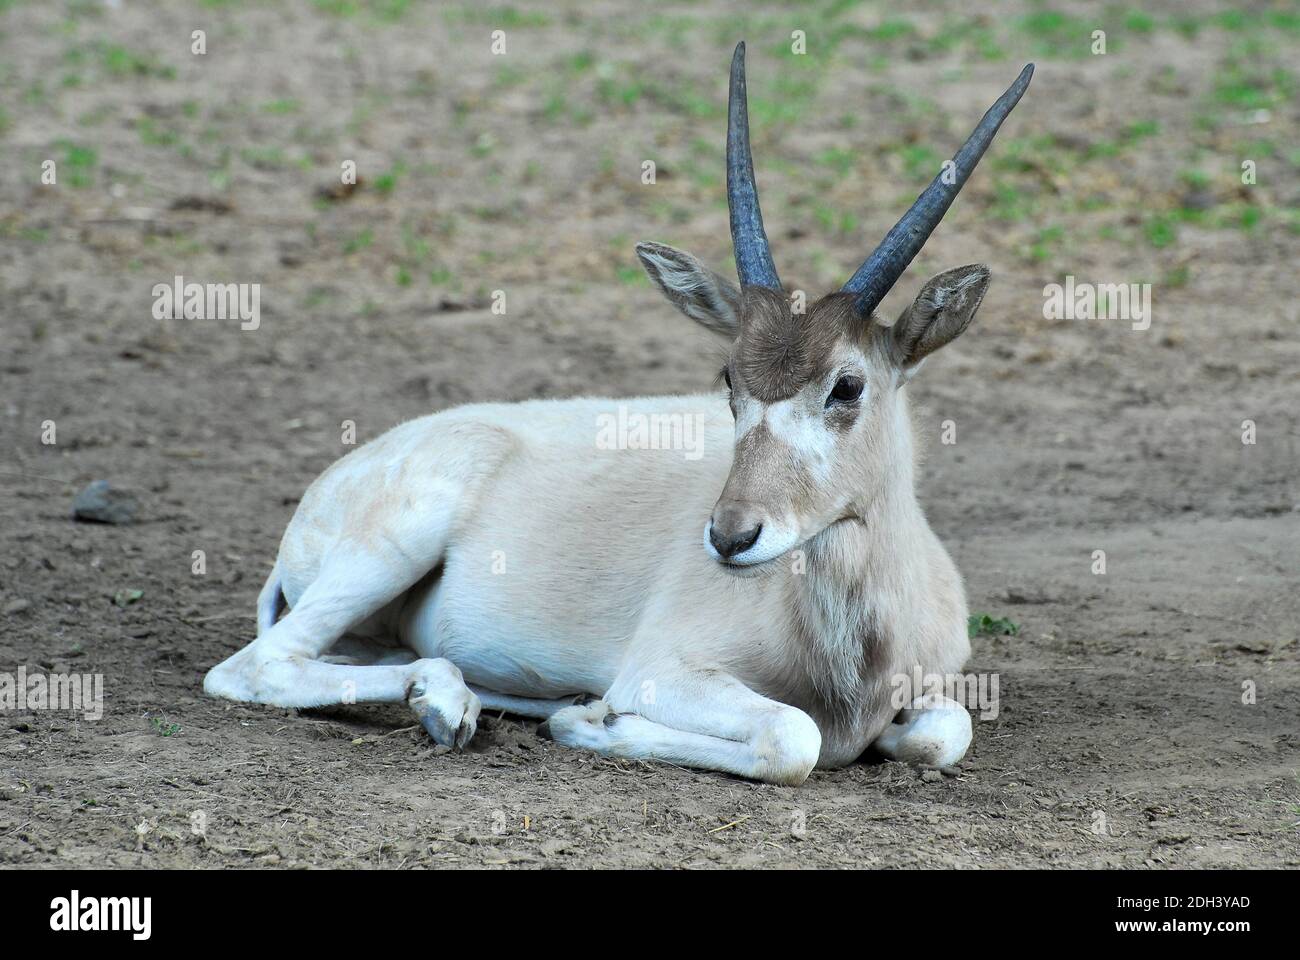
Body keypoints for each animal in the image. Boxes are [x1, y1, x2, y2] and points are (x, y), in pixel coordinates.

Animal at [205, 44, 1034, 780]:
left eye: (848, 386)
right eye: (728, 377)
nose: (731, 537)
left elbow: (941, 732)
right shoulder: (663, 670)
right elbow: (795, 739)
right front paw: (594, 721)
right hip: (389, 547)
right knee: (256, 666)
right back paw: (452, 701)